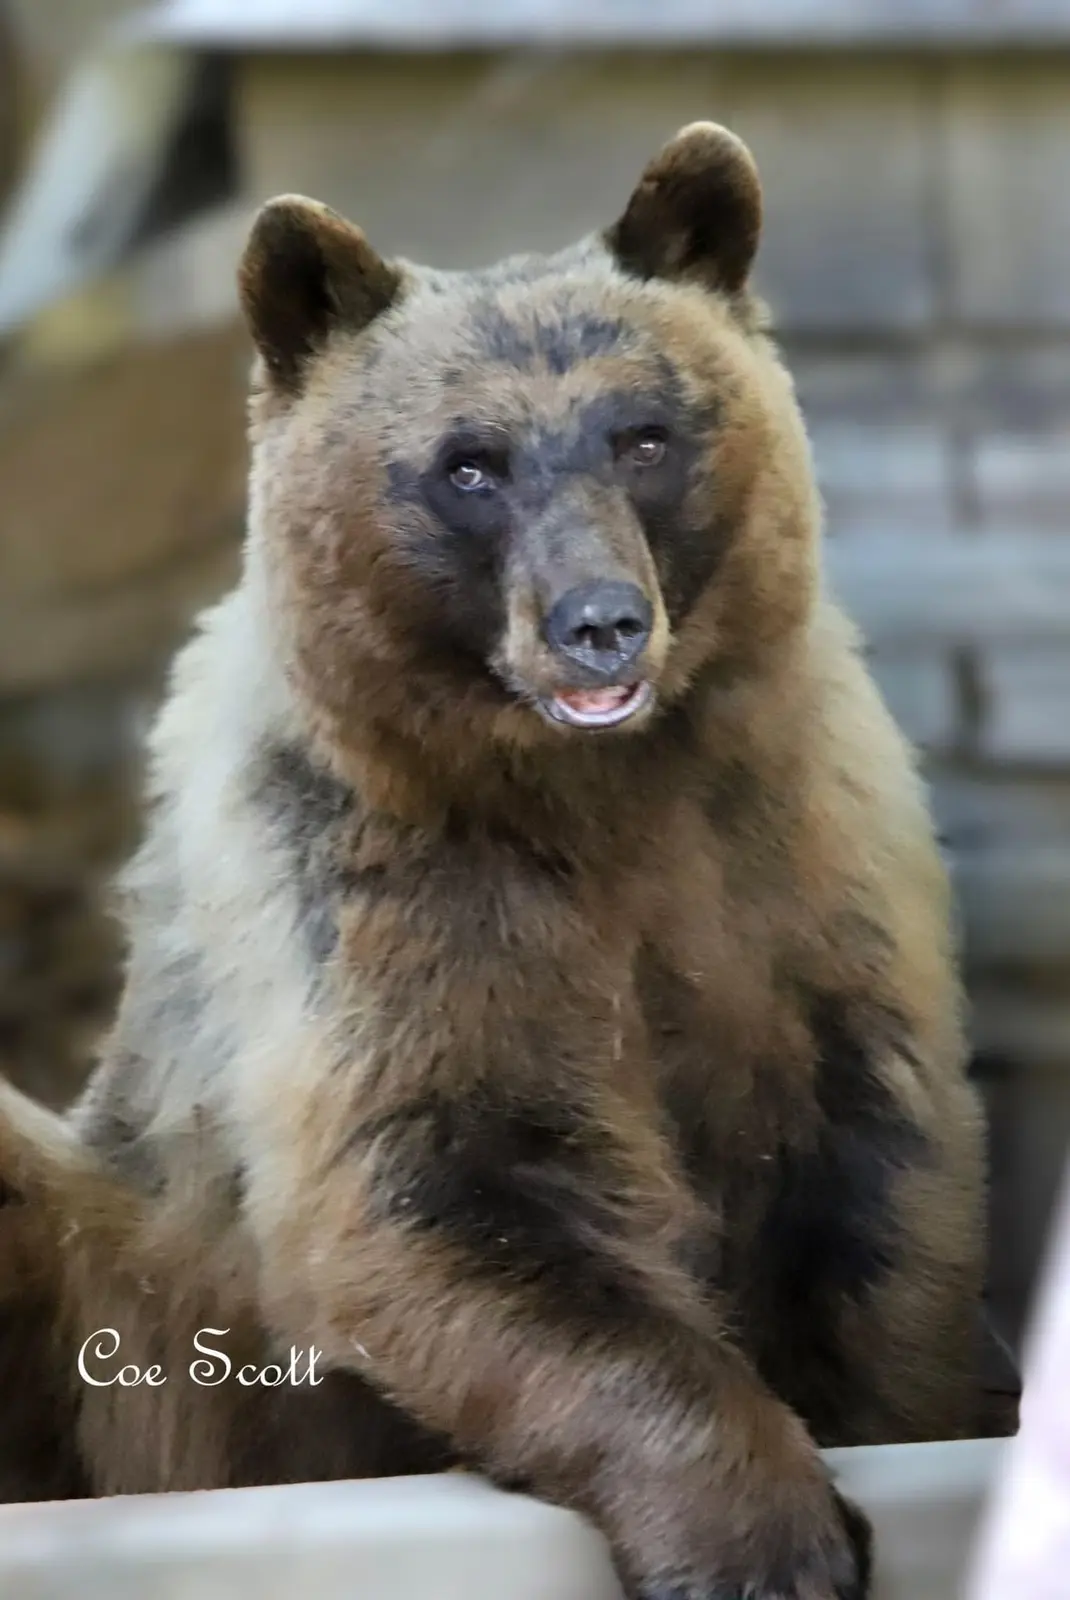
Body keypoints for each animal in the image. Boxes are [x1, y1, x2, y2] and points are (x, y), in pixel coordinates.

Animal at [0, 121, 992, 1597]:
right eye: (468, 464)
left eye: (643, 435)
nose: (600, 622)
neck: (602, 793)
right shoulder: (376, 888)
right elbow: (450, 1188)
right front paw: (761, 1535)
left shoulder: (797, 863)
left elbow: (877, 1187)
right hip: (143, 1323)